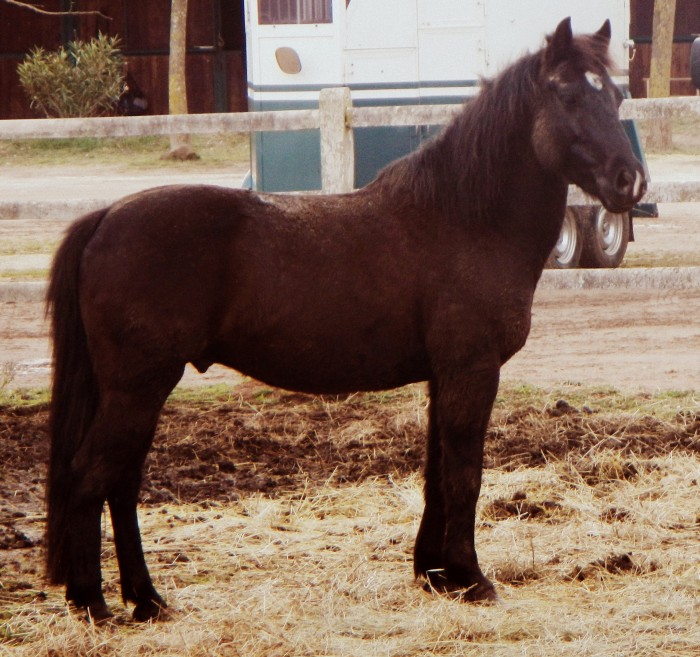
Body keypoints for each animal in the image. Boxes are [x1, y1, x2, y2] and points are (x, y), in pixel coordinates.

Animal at [43, 16, 644, 620]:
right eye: (567, 94)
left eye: (616, 95)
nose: (630, 181)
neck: (464, 219)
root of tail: (106, 217)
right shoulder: (472, 372)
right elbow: (465, 474)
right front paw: (471, 578)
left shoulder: (442, 377)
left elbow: (436, 475)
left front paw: (434, 573)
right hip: (139, 388)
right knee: (91, 477)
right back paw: (93, 601)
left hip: (135, 392)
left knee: (119, 484)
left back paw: (145, 600)